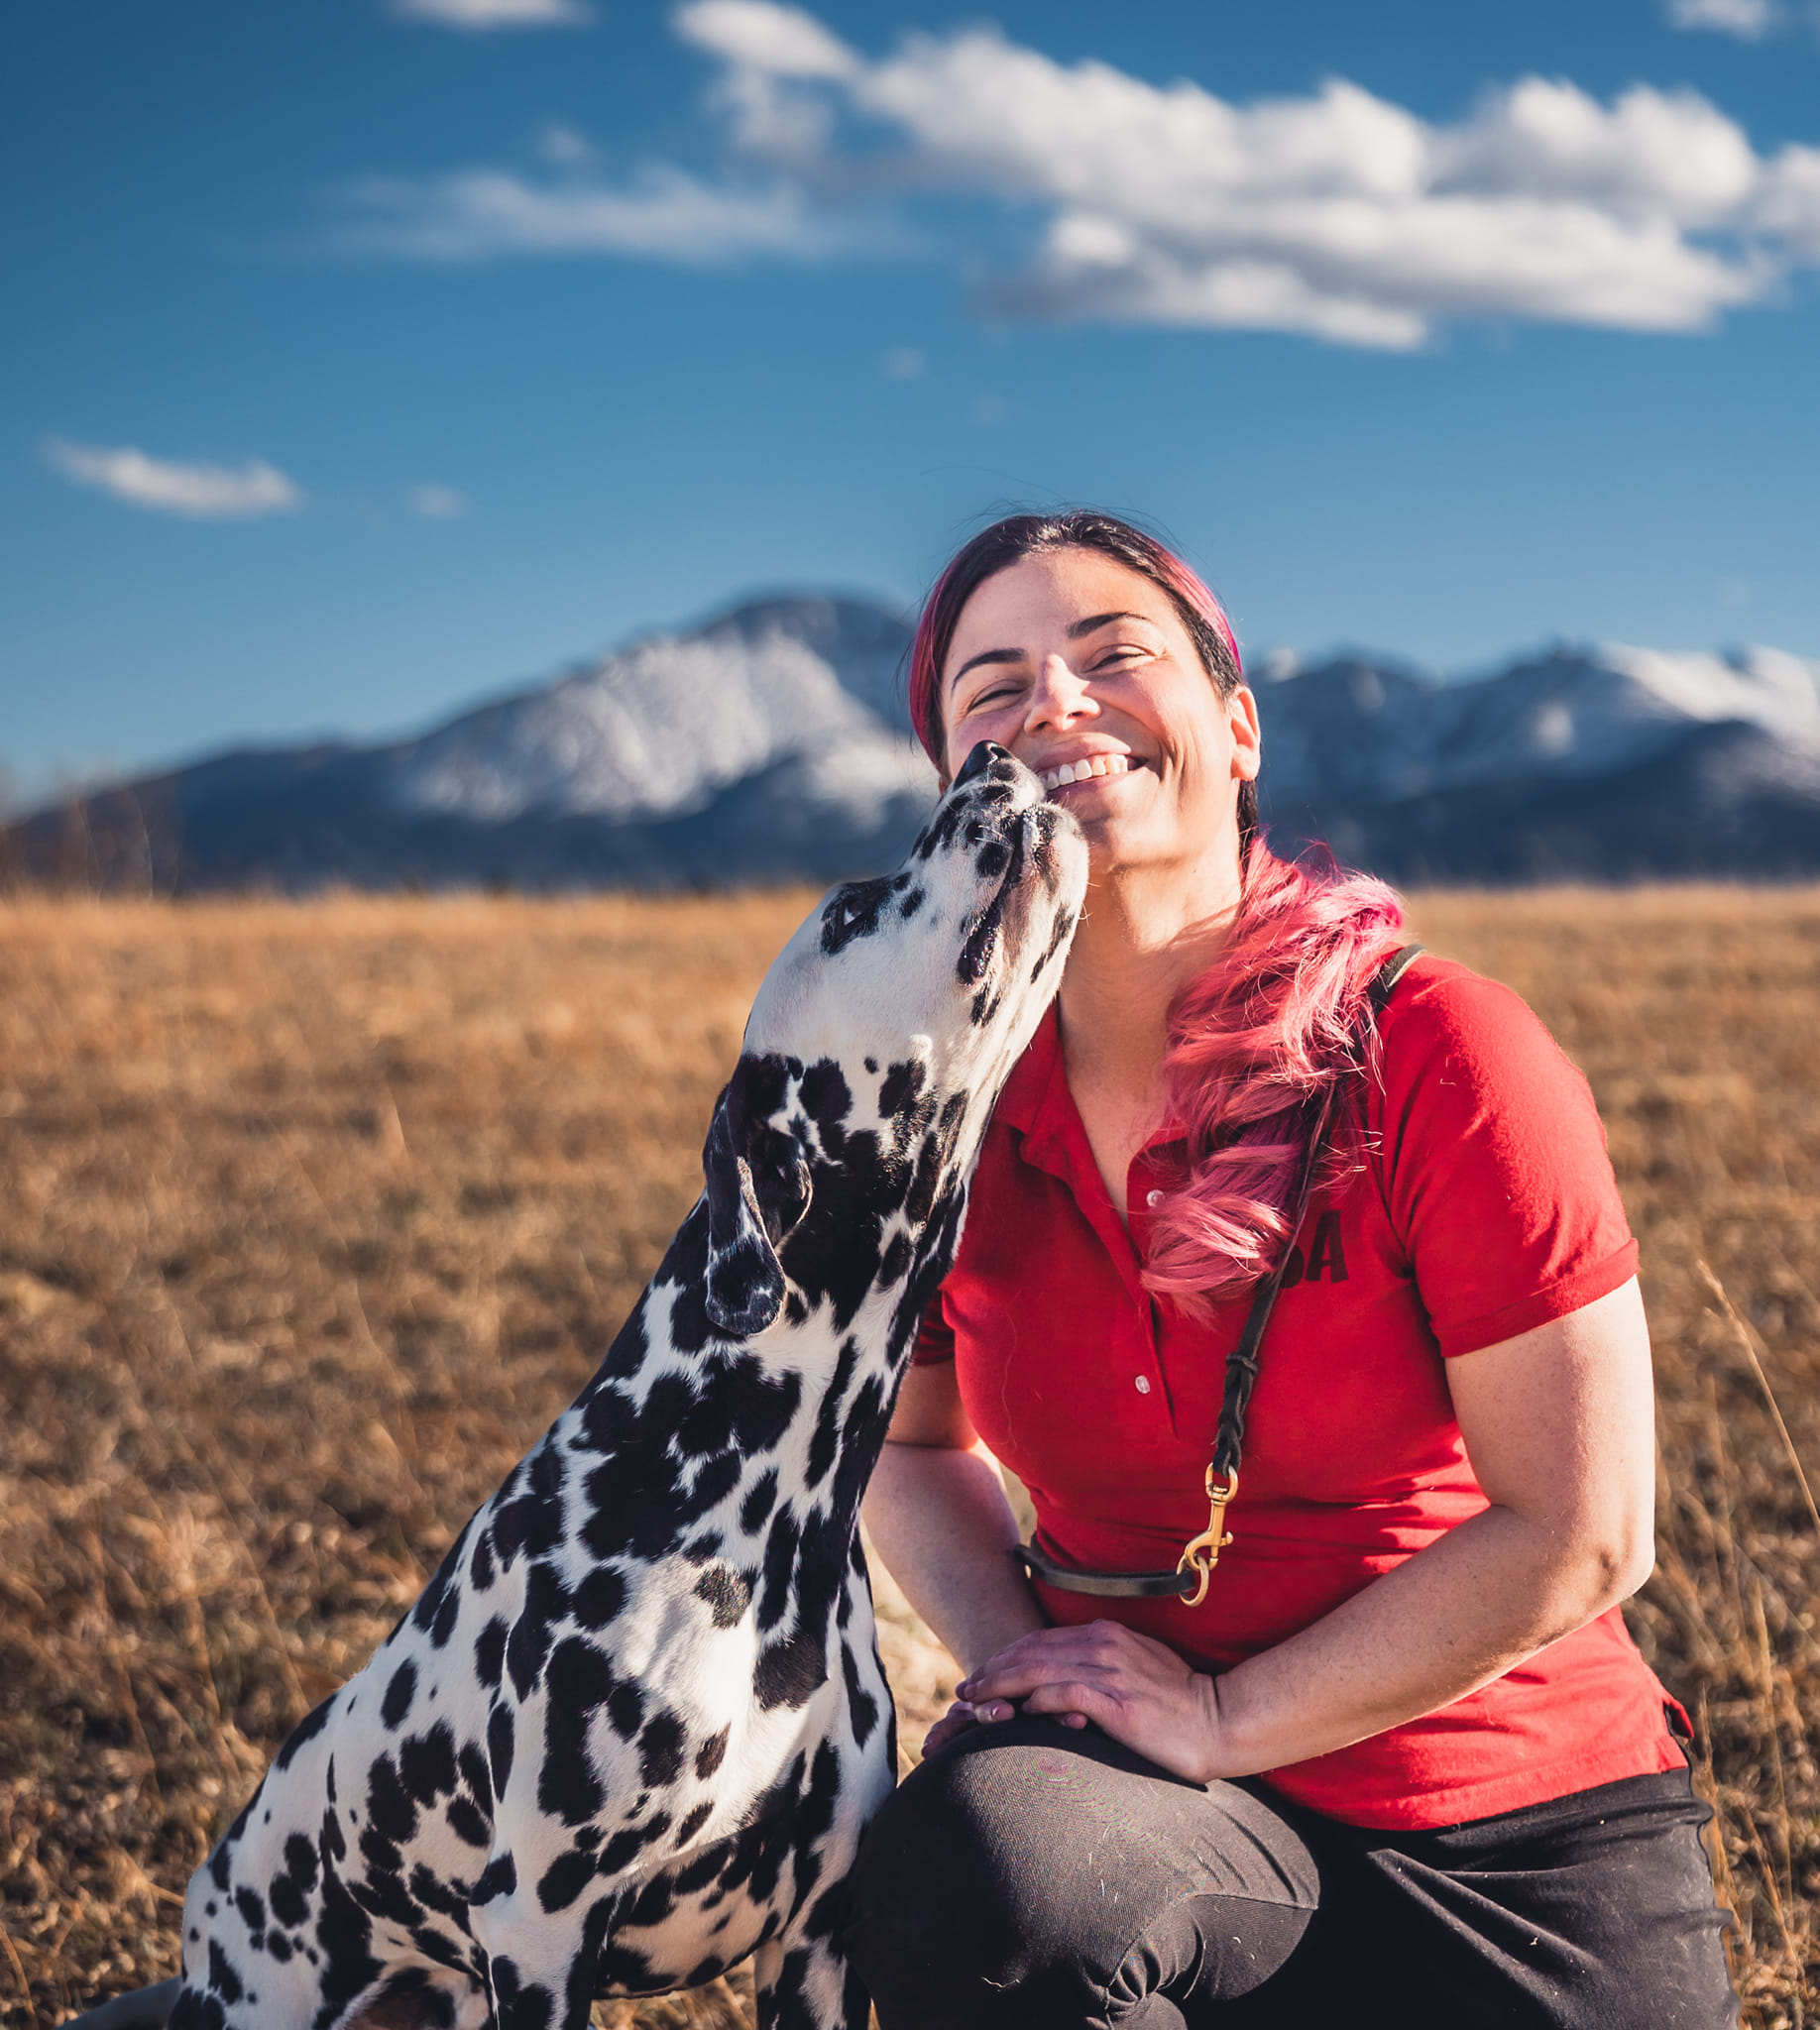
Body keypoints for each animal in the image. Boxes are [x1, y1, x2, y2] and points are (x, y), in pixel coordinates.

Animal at [77, 746, 1081, 2030]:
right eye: (853, 908)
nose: (993, 759)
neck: (737, 1489)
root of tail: (200, 1917)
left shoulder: (817, 1936)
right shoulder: (544, 1930)